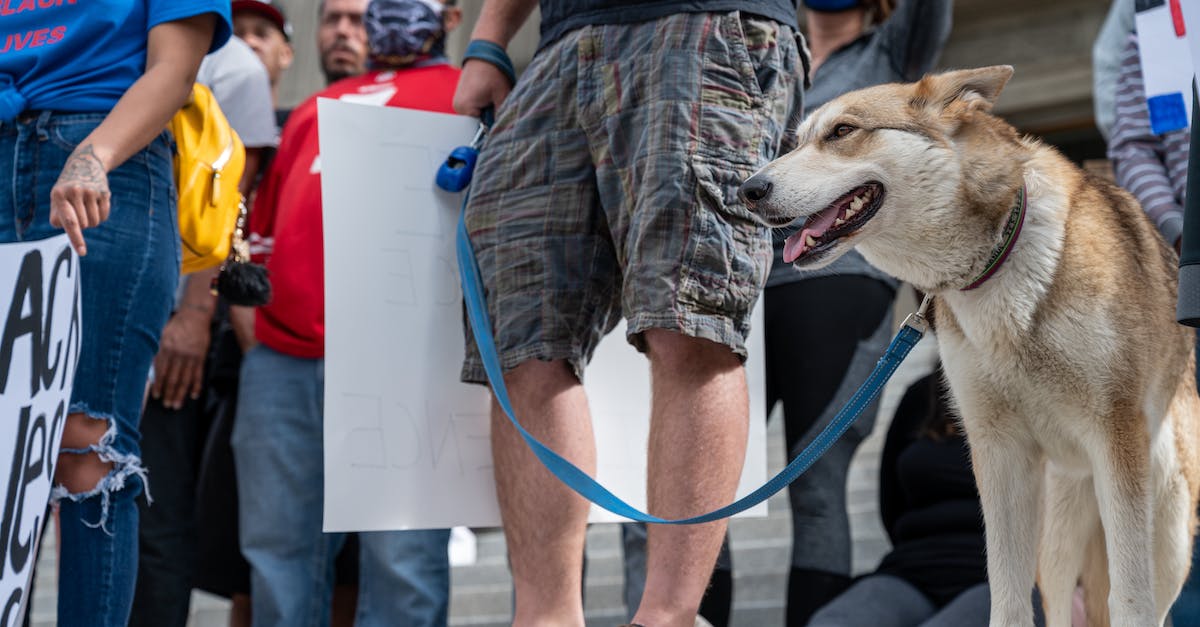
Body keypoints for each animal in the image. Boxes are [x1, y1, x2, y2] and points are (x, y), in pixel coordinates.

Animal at [739, 65, 1200, 619]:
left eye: (842, 131)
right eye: (798, 142)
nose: (747, 189)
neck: (1000, 256)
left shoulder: (1115, 437)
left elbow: (1130, 598)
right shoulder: (998, 453)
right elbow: (1006, 600)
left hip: (1167, 522)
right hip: (1057, 535)